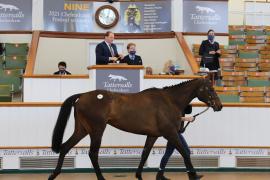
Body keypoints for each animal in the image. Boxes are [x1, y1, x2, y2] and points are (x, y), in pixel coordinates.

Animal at [48, 78, 221, 180]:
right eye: (211, 89)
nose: (219, 106)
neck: (169, 101)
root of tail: (82, 96)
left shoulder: (153, 135)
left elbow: (144, 154)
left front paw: (139, 176)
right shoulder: (170, 133)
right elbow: (184, 152)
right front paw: (193, 175)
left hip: (82, 130)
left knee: (65, 147)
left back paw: (53, 175)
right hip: (96, 130)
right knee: (92, 154)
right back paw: (101, 178)